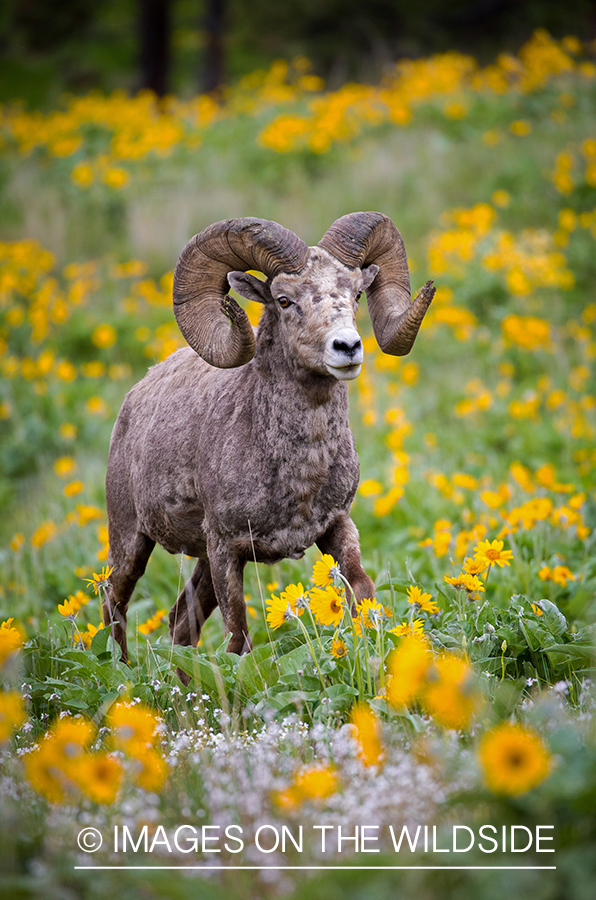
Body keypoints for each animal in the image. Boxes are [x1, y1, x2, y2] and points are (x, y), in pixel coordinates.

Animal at [104, 212, 435, 664]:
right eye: (283, 300)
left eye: (356, 295)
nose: (347, 347)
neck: (300, 474)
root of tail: (135, 395)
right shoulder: (226, 549)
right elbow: (238, 639)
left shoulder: (336, 527)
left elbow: (362, 593)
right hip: (130, 541)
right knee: (114, 607)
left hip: (196, 561)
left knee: (180, 625)